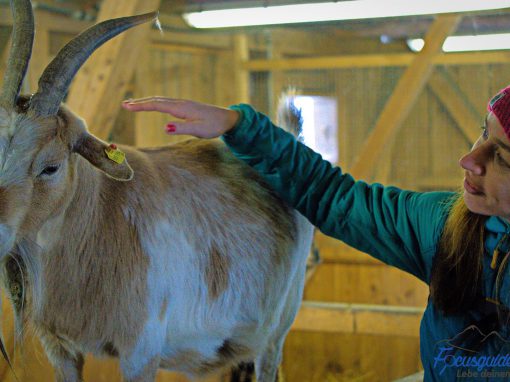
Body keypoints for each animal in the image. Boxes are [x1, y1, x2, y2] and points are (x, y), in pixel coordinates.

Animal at [0, 1, 314, 380]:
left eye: (51, 166)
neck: (97, 219)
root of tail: (291, 139)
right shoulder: (59, 348)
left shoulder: (141, 352)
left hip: (277, 329)